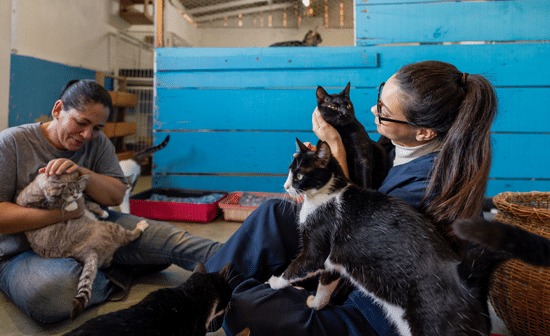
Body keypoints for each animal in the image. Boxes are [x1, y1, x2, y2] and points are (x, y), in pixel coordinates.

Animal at [15, 171, 149, 320]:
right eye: (68, 192)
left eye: (79, 188)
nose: (75, 196)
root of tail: (88, 252)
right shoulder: (35, 202)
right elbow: (55, 204)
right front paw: (71, 205)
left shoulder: (82, 199)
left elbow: (91, 203)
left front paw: (102, 212)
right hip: (112, 228)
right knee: (130, 236)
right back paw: (141, 226)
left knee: (107, 263)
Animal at [270, 137, 550, 336]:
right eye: (289, 171)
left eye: (299, 175)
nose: (285, 186)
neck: (325, 195)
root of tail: (467, 280)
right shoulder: (334, 261)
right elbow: (326, 283)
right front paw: (316, 303)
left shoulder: (317, 248)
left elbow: (299, 266)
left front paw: (274, 282)